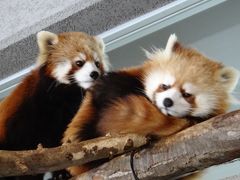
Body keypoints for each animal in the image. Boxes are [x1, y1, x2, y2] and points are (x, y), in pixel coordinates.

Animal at [0, 31, 109, 179]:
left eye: (97, 63)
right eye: (79, 63)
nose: (95, 74)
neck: (67, 95)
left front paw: (62, 172)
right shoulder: (30, 111)